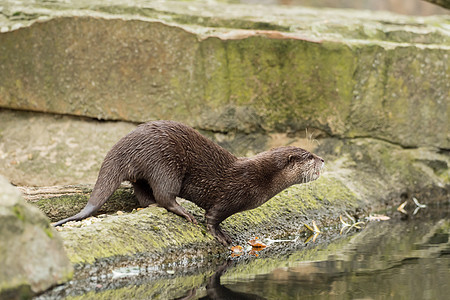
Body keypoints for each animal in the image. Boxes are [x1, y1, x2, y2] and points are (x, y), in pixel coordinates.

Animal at [53, 120, 324, 245]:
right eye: (308, 156)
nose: (322, 159)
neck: (259, 177)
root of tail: (125, 145)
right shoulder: (230, 195)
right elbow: (212, 217)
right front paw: (220, 236)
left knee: (143, 191)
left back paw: (150, 205)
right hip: (165, 162)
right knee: (165, 194)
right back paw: (184, 213)